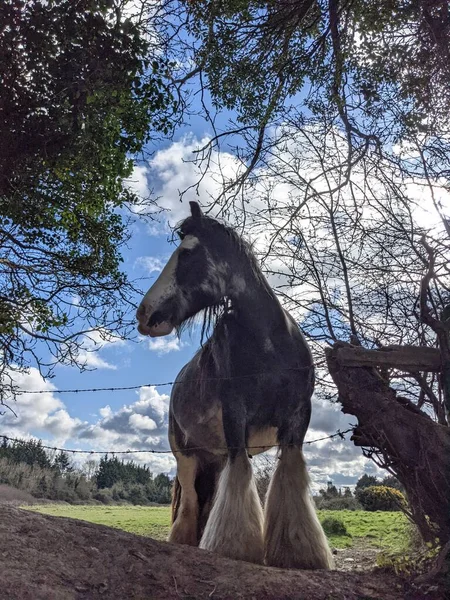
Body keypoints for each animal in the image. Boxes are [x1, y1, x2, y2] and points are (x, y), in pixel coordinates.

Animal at [137, 202, 334, 568]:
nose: (145, 314)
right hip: (186, 457)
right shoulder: (235, 417)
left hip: (213, 459)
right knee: (189, 505)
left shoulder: (297, 419)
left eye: (187, 254)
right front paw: (234, 548)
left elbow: (290, 481)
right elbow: (240, 478)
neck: (270, 347)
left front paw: (300, 553)